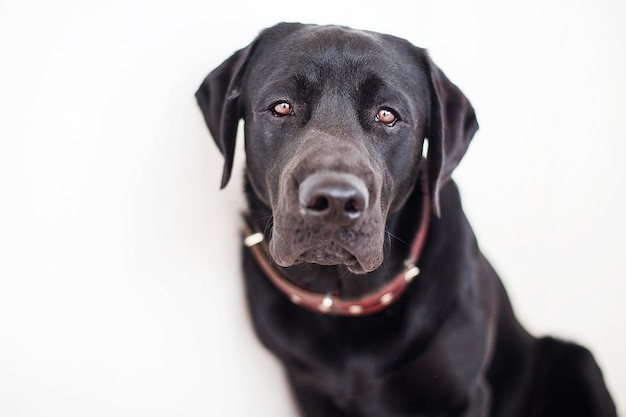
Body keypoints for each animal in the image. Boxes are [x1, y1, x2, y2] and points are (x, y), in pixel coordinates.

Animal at [196, 23, 616, 416]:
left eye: (387, 115)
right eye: (282, 107)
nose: (334, 200)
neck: (351, 300)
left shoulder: (465, 394)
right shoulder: (310, 392)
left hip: (579, 361)